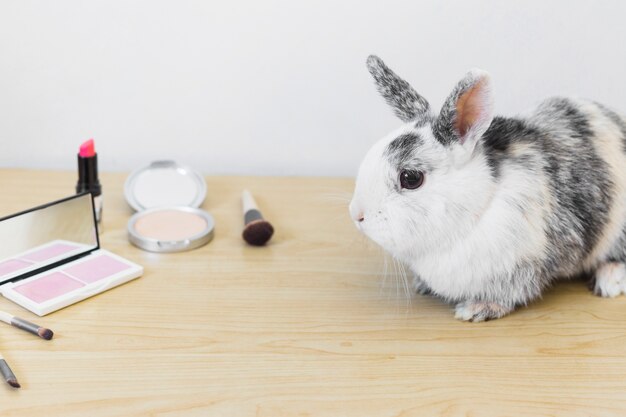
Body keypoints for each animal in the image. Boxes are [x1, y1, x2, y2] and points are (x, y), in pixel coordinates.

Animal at [348, 55, 624, 320]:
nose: (356, 215)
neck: (478, 209)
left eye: (411, 178)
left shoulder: (521, 266)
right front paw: (423, 285)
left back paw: (609, 280)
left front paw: (477, 309)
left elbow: (511, 294)